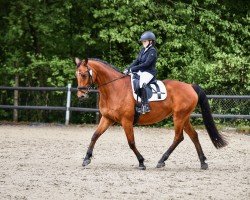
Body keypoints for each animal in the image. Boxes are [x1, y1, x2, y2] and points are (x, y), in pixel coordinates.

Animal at [74, 57, 227, 170]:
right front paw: (86, 158)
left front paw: (141, 162)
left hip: (179, 117)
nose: (81, 96)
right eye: (77, 75)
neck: (114, 88)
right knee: (193, 135)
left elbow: (131, 142)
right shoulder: (107, 118)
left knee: (179, 137)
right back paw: (203, 162)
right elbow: (95, 136)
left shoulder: (126, 121)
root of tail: (190, 86)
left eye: (84, 74)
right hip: (185, 117)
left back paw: (161, 160)